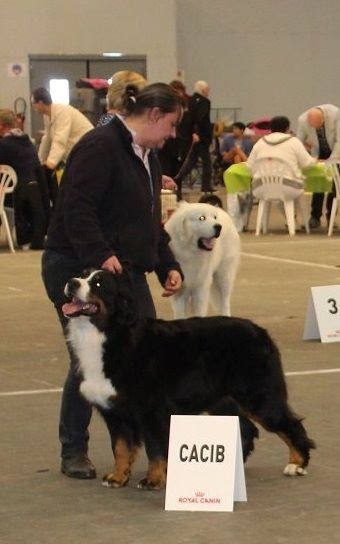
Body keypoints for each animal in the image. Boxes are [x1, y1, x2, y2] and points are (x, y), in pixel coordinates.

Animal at [62, 268, 314, 488]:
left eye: (98, 284)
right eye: (82, 274)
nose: (71, 283)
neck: (110, 334)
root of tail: (262, 331)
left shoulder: (151, 410)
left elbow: (155, 448)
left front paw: (153, 479)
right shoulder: (114, 412)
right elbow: (121, 448)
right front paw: (117, 477)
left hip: (258, 397)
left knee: (289, 424)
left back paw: (297, 464)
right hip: (223, 400)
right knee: (247, 429)